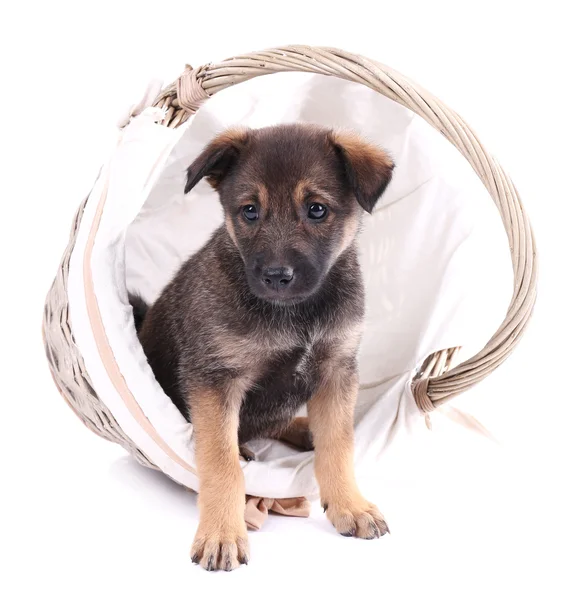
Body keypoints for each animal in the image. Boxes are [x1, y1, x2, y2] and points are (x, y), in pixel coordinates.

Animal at [132, 123, 396, 572]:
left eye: (316, 209)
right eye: (250, 211)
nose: (276, 276)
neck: (295, 314)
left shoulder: (336, 369)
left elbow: (338, 445)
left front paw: (350, 504)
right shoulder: (215, 379)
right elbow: (220, 462)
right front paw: (222, 533)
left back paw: (304, 429)